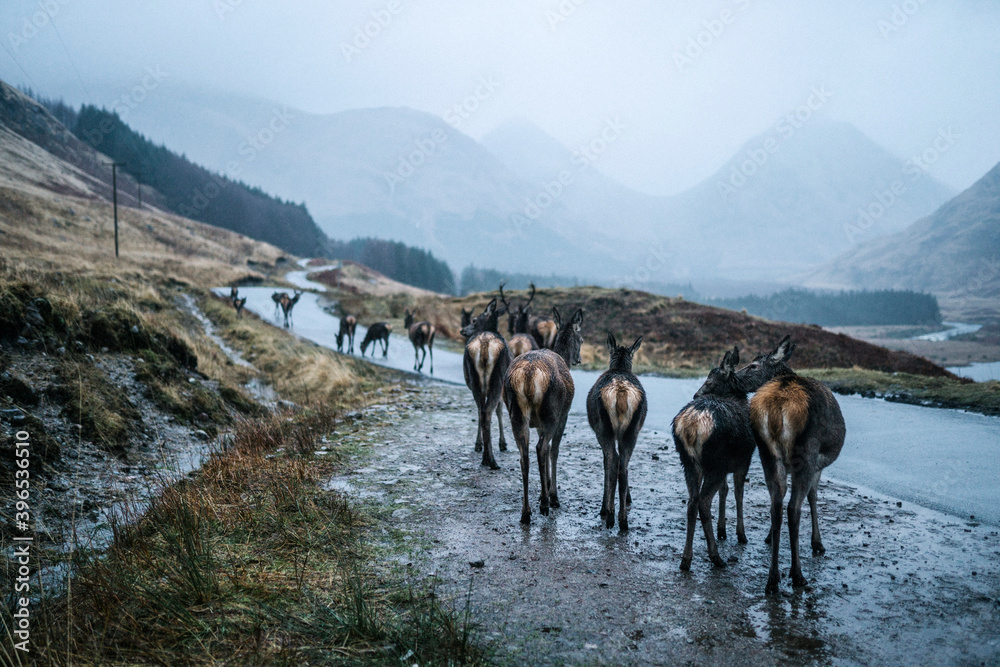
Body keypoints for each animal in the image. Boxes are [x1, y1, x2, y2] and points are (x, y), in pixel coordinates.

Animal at [458, 298, 508, 470]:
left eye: (474, 320)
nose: (462, 330)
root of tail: (485, 345)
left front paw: (478, 444)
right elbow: (499, 411)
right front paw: (503, 443)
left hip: (475, 381)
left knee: (482, 410)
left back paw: (485, 456)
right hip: (497, 379)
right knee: (487, 412)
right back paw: (491, 460)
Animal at [504, 306, 584, 524]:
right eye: (581, 339)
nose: (579, 359)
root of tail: (529, 375)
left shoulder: (539, 423)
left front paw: (544, 490)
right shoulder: (563, 415)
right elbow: (553, 451)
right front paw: (552, 494)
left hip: (517, 413)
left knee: (524, 454)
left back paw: (526, 512)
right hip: (551, 411)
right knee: (541, 448)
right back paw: (546, 504)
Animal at [584, 334, 648, 532]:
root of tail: (621, 394)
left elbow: (606, 463)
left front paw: (604, 507)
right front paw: (628, 499)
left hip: (604, 429)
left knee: (613, 461)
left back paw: (609, 513)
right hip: (632, 431)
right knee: (624, 465)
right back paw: (623, 519)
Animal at [668, 348, 752, 572]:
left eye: (710, 380)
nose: (696, 394)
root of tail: (691, 426)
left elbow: (725, 490)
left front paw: (723, 530)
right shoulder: (744, 460)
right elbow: (739, 494)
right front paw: (741, 534)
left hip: (689, 462)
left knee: (692, 502)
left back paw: (686, 559)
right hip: (715, 462)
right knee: (704, 502)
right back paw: (716, 557)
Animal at [736, 336, 844, 592]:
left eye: (753, 365)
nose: (733, 377)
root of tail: (779, 405)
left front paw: (768, 537)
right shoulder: (818, 464)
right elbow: (814, 497)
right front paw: (817, 543)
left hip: (767, 453)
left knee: (776, 504)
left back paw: (772, 578)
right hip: (805, 452)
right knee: (793, 507)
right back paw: (797, 575)